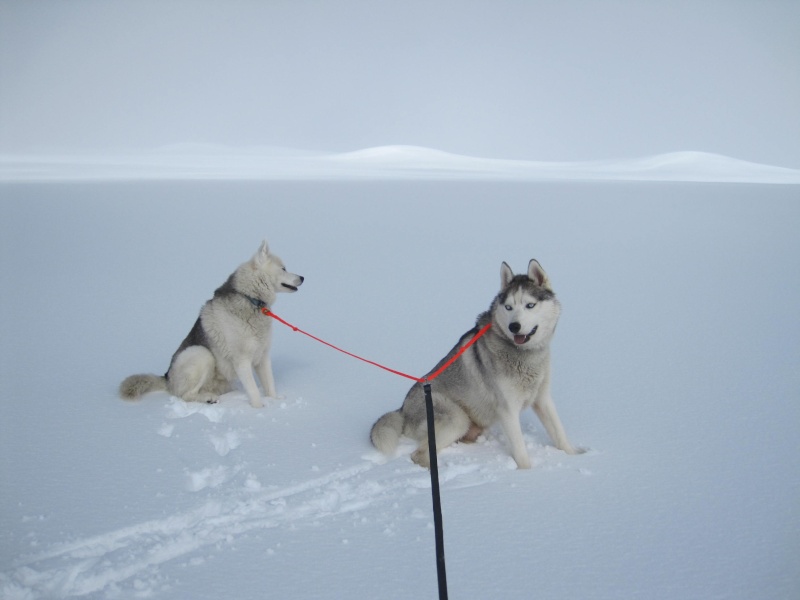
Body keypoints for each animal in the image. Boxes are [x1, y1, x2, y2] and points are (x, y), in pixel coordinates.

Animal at [119, 239, 304, 408]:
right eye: (284, 268)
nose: (302, 277)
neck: (250, 299)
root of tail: (167, 377)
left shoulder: (263, 357)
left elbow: (270, 385)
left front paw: (274, 402)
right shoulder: (242, 361)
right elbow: (253, 391)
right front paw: (259, 410)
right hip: (201, 354)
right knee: (186, 395)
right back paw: (207, 398)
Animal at [368, 258, 580, 468]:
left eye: (530, 305)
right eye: (508, 307)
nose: (514, 326)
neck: (525, 356)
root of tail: (402, 409)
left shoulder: (543, 399)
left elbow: (559, 432)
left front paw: (574, 455)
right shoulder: (508, 410)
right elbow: (520, 451)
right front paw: (527, 472)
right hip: (456, 418)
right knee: (418, 454)